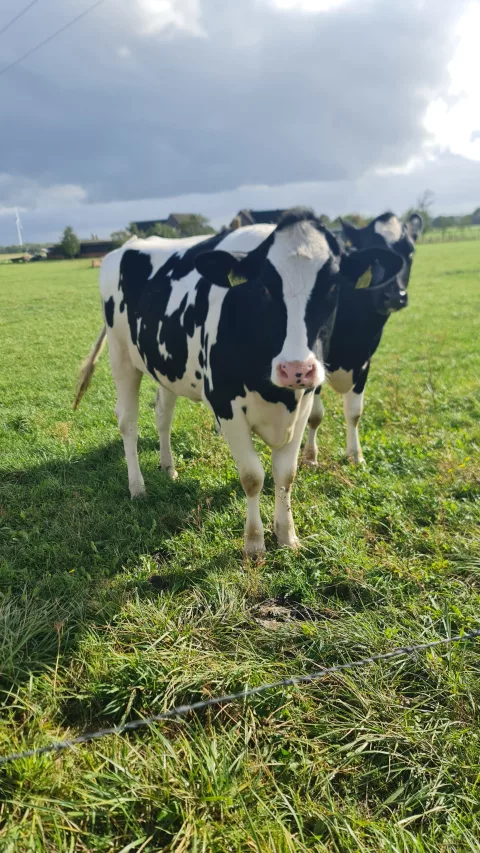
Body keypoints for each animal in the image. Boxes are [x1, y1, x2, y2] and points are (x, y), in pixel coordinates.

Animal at [74, 209, 402, 555]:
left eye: (333, 287)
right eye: (264, 288)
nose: (296, 369)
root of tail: (127, 245)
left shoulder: (305, 401)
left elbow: (286, 474)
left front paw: (287, 536)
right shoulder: (225, 404)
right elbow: (252, 476)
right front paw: (254, 544)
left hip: (166, 366)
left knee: (163, 415)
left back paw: (168, 467)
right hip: (121, 356)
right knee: (128, 422)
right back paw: (137, 487)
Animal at [302, 212, 423, 466]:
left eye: (409, 251)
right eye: (369, 250)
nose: (394, 296)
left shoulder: (364, 362)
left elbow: (354, 412)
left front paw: (355, 456)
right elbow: (315, 415)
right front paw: (309, 458)